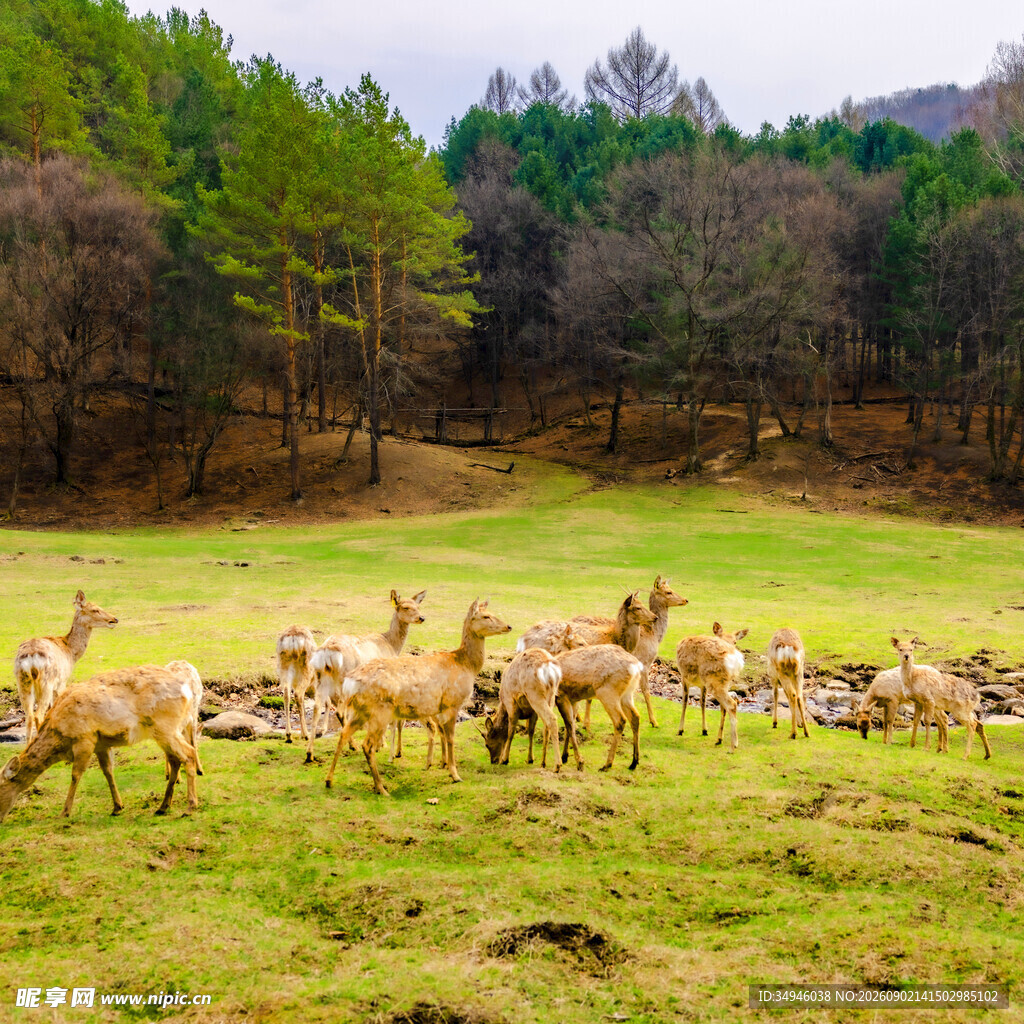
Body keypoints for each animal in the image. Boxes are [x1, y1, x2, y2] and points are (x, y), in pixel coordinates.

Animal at [0, 663, 201, 822]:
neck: (60, 735)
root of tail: (188, 691)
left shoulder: (84, 738)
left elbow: (76, 775)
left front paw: (64, 812)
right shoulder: (101, 745)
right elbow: (108, 772)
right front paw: (117, 807)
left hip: (166, 726)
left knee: (188, 754)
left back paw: (190, 807)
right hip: (164, 731)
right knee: (175, 760)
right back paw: (163, 807)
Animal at [14, 590, 118, 747]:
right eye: (95, 609)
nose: (114, 619)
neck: (70, 652)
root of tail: (30, 658)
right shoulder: (62, 682)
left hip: (22, 681)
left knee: (29, 716)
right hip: (46, 681)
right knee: (38, 715)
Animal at [305, 589, 426, 764]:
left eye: (417, 605)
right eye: (405, 607)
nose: (421, 617)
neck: (392, 646)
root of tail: (327, 653)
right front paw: (380, 744)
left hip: (320, 678)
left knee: (317, 707)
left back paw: (310, 754)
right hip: (343, 679)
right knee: (340, 711)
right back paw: (352, 746)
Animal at [326, 599, 511, 795]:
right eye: (486, 616)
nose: (509, 626)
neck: (466, 665)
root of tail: (350, 682)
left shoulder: (439, 707)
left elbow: (441, 734)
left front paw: (442, 765)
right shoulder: (452, 702)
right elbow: (451, 738)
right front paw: (455, 775)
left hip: (360, 710)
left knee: (343, 734)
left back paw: (329, 780)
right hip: (379, 711)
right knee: (367, 745)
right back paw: (381, 788)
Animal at [676, 623, 749, 751]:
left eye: (735, 641)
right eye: (720, 637)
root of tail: (736, 659)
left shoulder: (684, 677)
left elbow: (685, 701)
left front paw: (680, 730)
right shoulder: (703, 684)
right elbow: (703, 702)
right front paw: (705, 730)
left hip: (714, 679)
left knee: (731, 705)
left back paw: (733, 744)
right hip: (722, 681)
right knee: (728, 705)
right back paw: (720, 739)